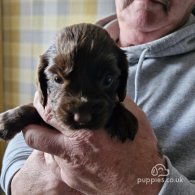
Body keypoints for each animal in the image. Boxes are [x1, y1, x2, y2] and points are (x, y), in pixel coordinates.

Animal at [0, 23, 138, 142]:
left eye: (108, 80)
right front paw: (9, 119)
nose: (82, 117)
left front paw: (122, 117)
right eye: (57, 79)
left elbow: (117, 102)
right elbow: (33, 108)